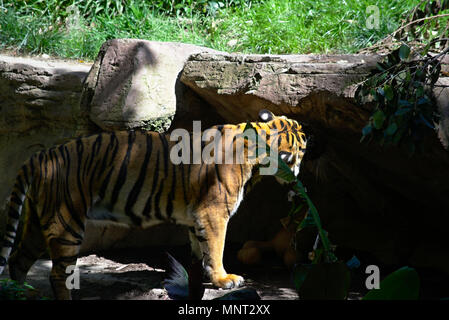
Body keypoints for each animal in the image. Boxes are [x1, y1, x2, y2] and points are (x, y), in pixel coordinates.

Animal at [0, 109, 304, 298]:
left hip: (38, 220)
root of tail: (41, 155)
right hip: (66, 221)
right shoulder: (214, 213)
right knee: (56, 275)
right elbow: (216, 248)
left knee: (17, 260)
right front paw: (224, 279)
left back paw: (19, 294)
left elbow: (201, 250)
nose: (300, 175)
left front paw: (201, 278)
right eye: (302, 148)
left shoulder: (197, 217)